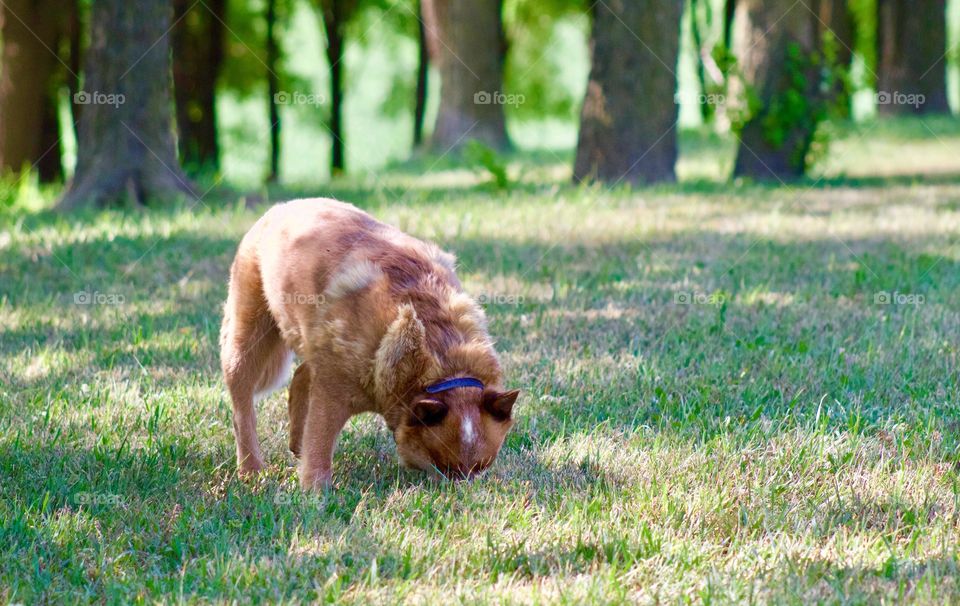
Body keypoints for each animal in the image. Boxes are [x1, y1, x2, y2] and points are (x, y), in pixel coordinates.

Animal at [219, 200, 516, 490]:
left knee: (302, 374)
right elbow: (320, 441)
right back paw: (251, 469)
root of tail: (279, 208)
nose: (464, 490)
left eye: (482, 466)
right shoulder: (332, 391)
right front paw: (316, 491)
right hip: (248, 333)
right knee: (242, 404)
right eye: (443, 465)